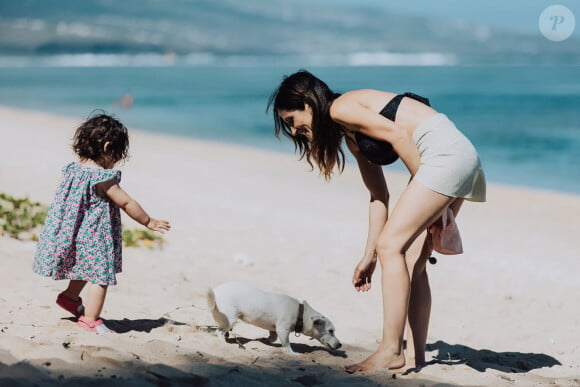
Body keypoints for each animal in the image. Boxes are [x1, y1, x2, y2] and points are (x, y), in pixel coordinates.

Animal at [207, 282, 340, 354]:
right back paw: (224, 343)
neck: (301, 313)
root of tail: (216, 291)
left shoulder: (274, 329)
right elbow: (287, 344)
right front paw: (293, 354)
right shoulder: (283, 329)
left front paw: (263, 340)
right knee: (219, 332)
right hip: (231, 319)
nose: (340, 345)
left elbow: (272, 337)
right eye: (330, 331)